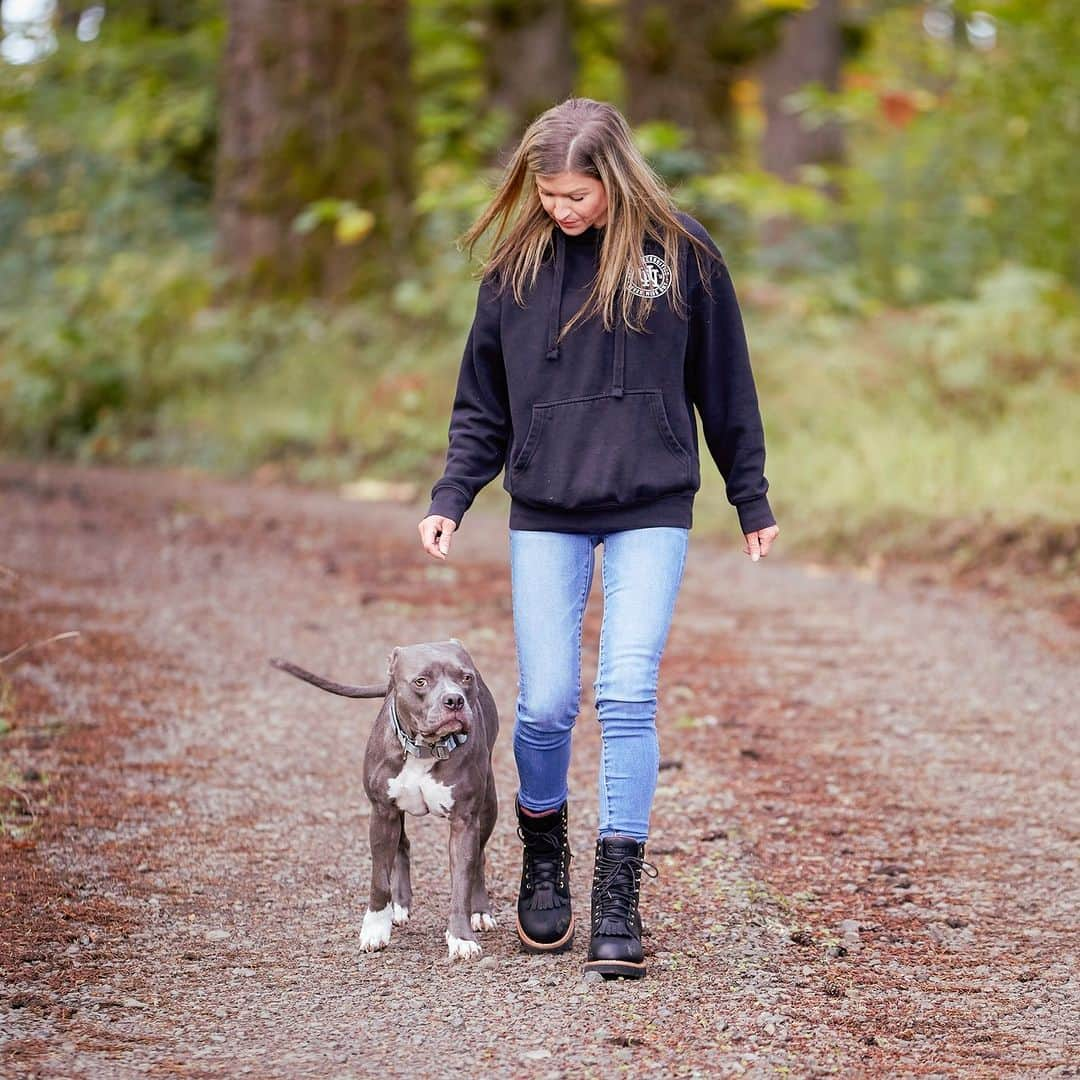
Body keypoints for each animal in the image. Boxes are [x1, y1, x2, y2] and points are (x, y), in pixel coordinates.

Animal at [274, 635, 501, 959]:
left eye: (465, 678)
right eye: (421, 681)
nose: (454, 700)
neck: (424, 748)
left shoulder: (464, 820)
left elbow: (461, 881)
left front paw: (460, 937)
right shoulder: (382, 812)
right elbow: (379, 878)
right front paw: (375, 928)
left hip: (488, 805)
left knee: (479, 856)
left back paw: (480, 911)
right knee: (402, 845)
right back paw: (401, 905)